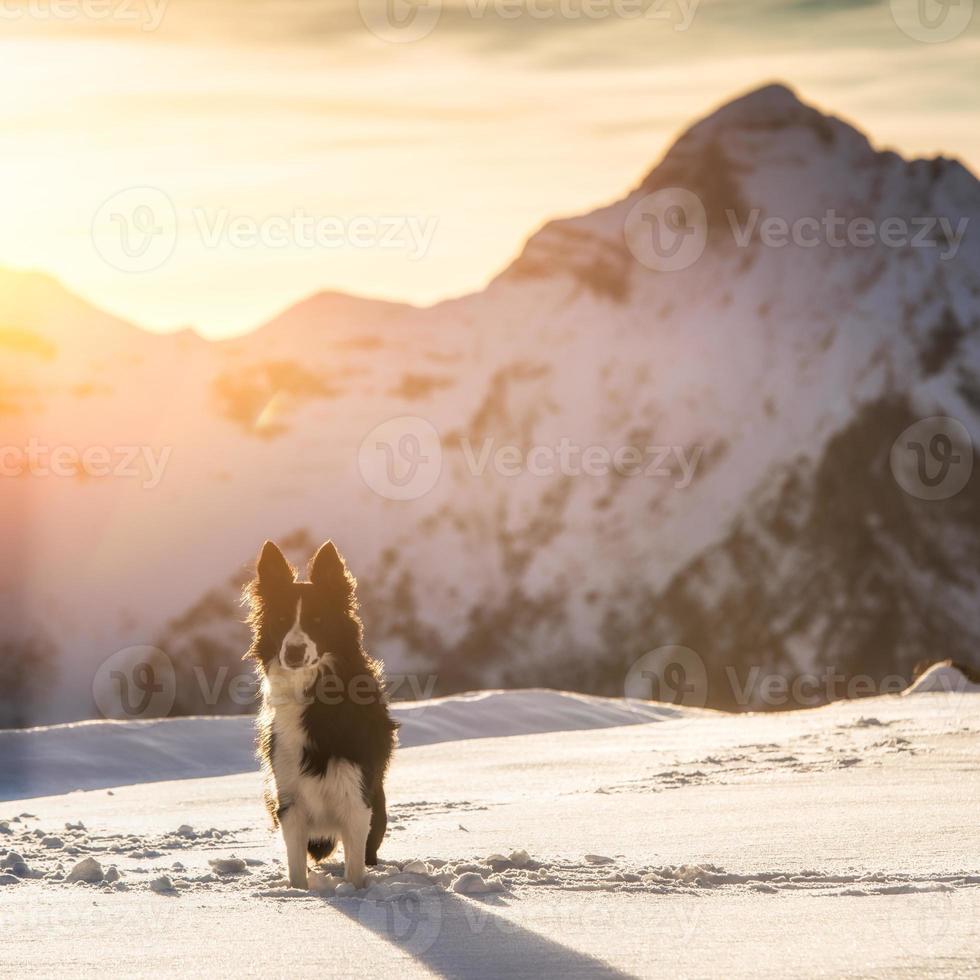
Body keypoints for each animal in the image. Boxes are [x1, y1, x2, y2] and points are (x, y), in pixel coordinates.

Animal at [245, 540, 398, 892]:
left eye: (317, 619)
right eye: (281, 619)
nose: (294, 651)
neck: (313, 696)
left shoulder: (355, 795)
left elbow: (355, 869)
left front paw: (355, 892)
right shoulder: (288, 798)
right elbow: (296, 870)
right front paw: (300, 894)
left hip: (377, 808)